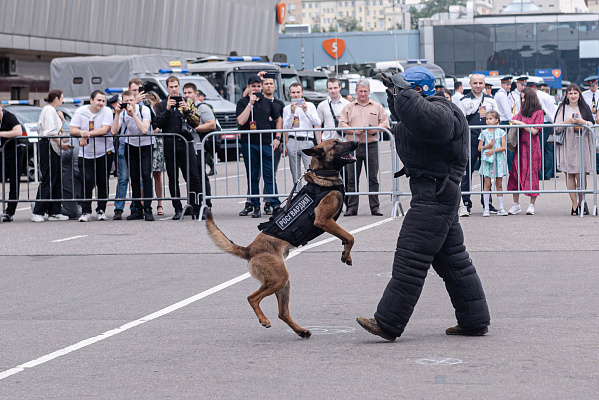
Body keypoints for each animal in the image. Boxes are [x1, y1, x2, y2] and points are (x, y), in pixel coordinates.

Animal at [204, 140, 358, 338]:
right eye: (336, 144)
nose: (356, 142)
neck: (322, 177)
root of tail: (250, 249)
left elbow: (346, 238)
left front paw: (346, 254)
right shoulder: (323, 220)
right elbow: (350, 236)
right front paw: (346, 254)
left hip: (283, 282)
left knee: (282, 313)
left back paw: (301, 331)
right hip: (279, 279)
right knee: (252, 298)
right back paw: (264, 320)